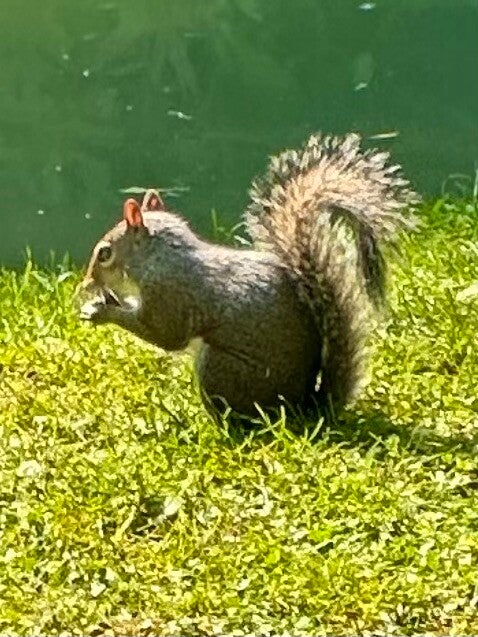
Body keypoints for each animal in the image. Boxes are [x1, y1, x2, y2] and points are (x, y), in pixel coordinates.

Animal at [77, 133, 417, 419]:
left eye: (105, 253)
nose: (86, 283)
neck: (159, 257)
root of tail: (302, 408)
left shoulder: (169, 296)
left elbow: (164, 336)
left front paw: (102, 311)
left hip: (220, 368)